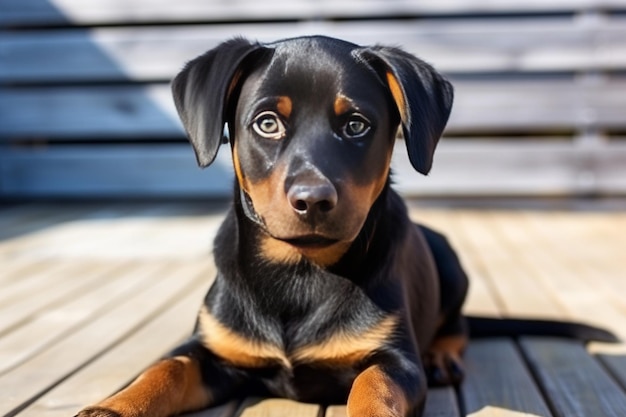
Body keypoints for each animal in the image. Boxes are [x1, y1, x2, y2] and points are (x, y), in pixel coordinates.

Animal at [77, 35, 616, 416]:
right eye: (267, 123)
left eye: (357, 125)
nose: (313, 200)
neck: (300, 271)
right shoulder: (212, 348)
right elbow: (164, 369)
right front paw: (111, 407)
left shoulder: (395, 359)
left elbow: (372, 385)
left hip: (449, 260)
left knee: (456, 321)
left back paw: (444, 355)